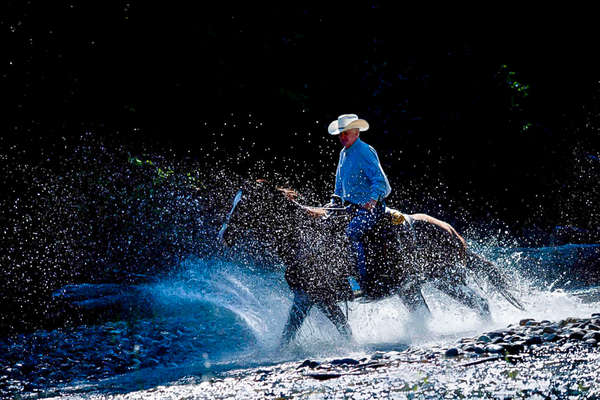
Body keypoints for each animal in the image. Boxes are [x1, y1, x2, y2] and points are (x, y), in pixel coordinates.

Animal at [218, 180, 524, 344]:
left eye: (244, 205)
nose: (223, 234)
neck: (305, 237)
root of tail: (452, 232)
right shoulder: (306, 297)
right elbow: (289, 331)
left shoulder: (324, 297)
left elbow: (343, 328)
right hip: (412, 288)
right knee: (433, 312)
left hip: (448, 278)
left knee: (480, 303)